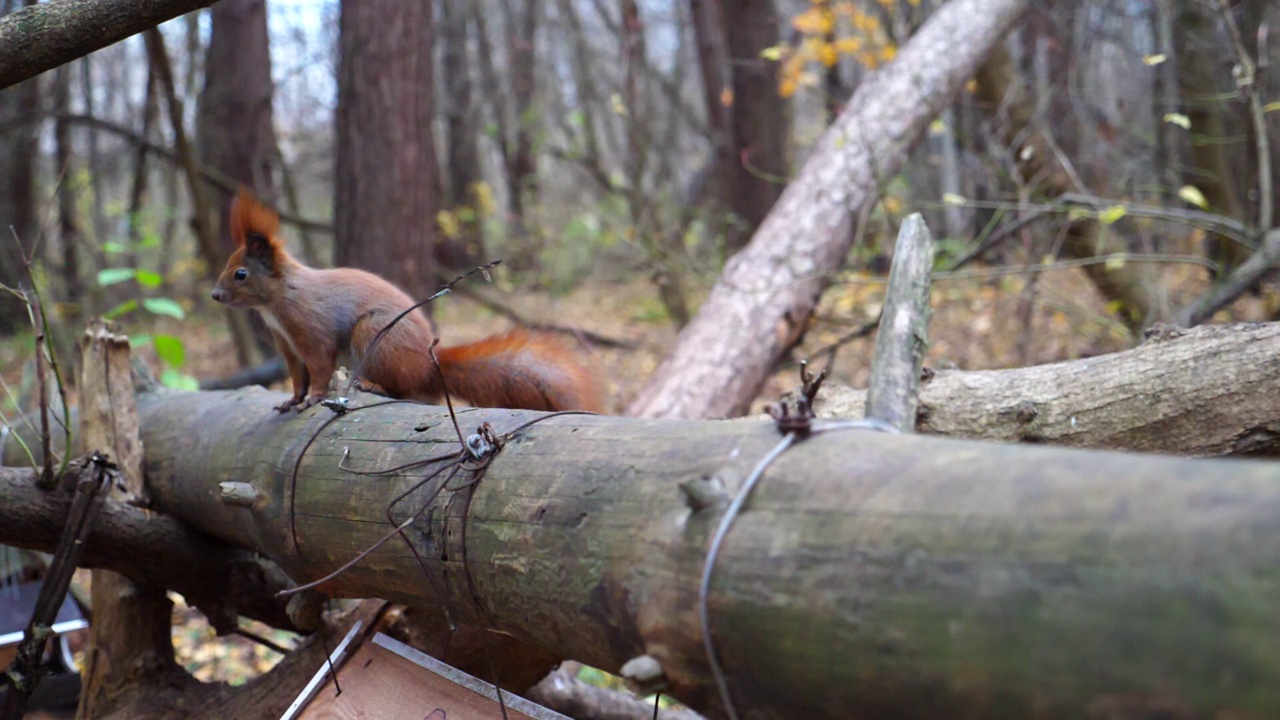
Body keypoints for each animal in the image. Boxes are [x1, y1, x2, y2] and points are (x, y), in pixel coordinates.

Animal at [209, 190, 604, 412]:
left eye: (240, 273)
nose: (214, 295)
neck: (277, 302)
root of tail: (428, 364)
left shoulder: (311, 331)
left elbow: (319, 368)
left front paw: (312, 398)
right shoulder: (287, 346)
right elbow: (296, 376)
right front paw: (292, 399)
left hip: (374, 336)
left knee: (402, 389)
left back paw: (373, 385)